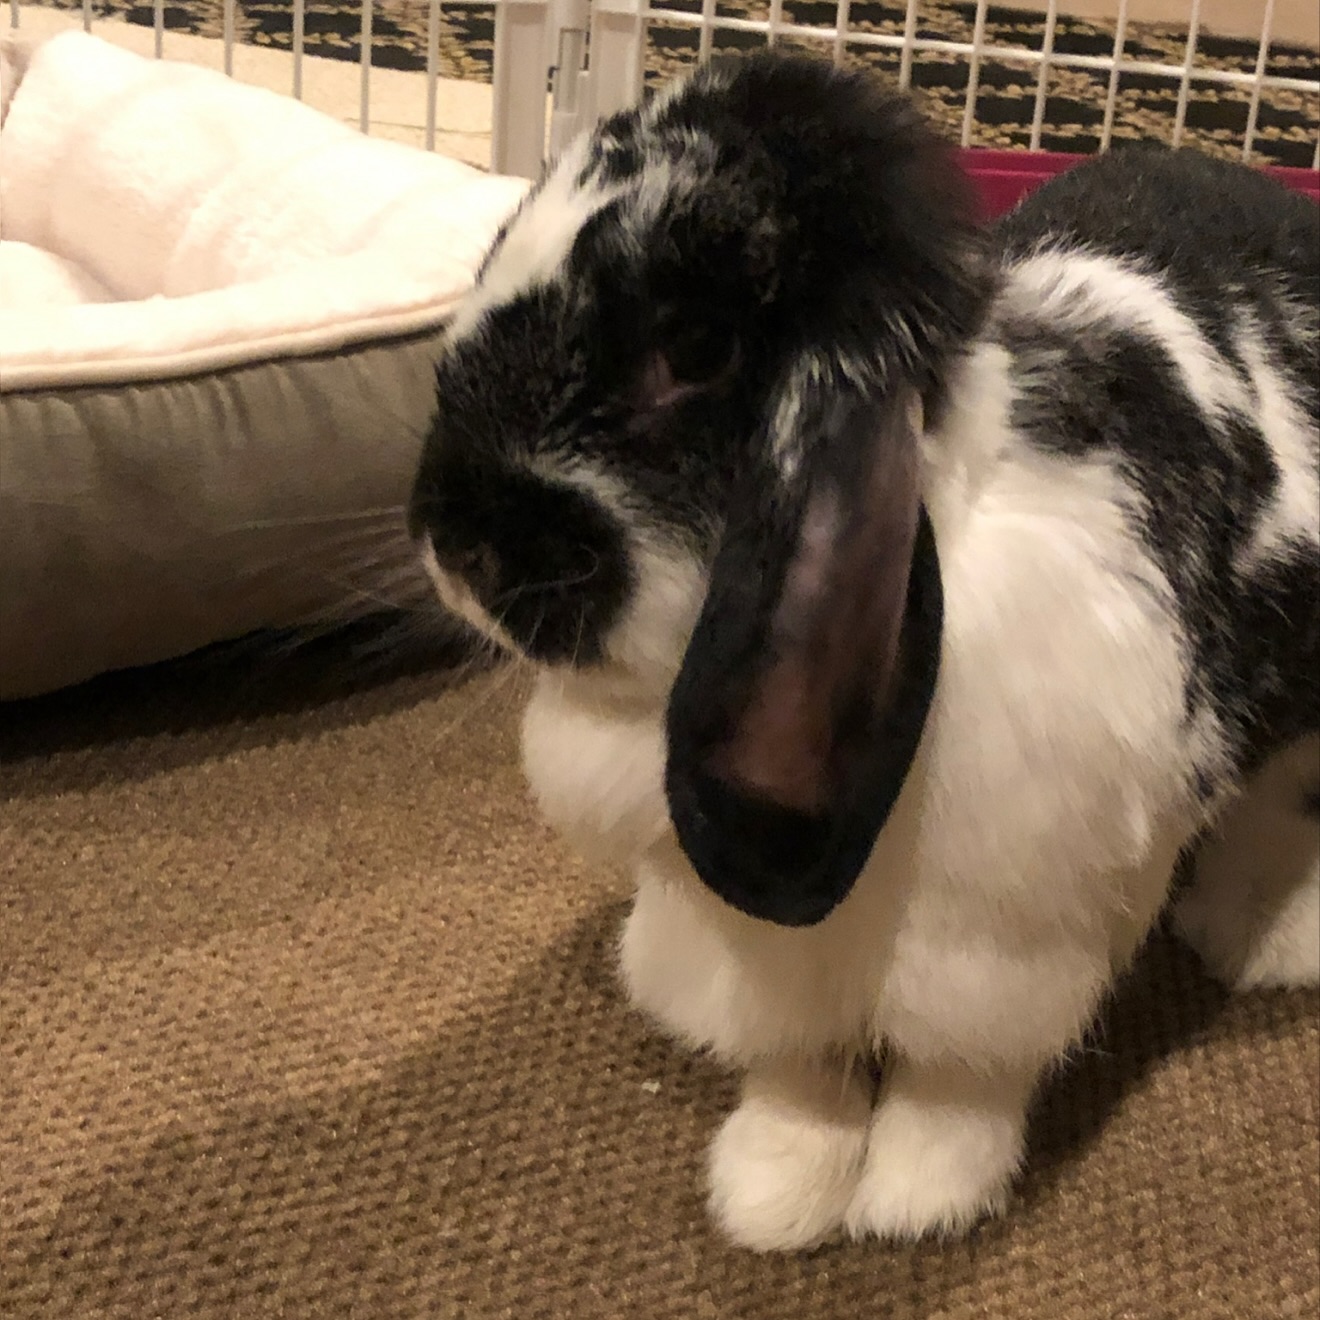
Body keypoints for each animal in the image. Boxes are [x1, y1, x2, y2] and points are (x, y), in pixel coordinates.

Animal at [409, 51, 1320, 1251]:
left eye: (695, 349)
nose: (452, 547)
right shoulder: (743, 942)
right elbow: (799, 1068)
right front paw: (773, 1194)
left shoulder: (999, 942)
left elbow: (955, 1080)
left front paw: (917, 1204)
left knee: (1288, 799)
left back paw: (1255, 939)